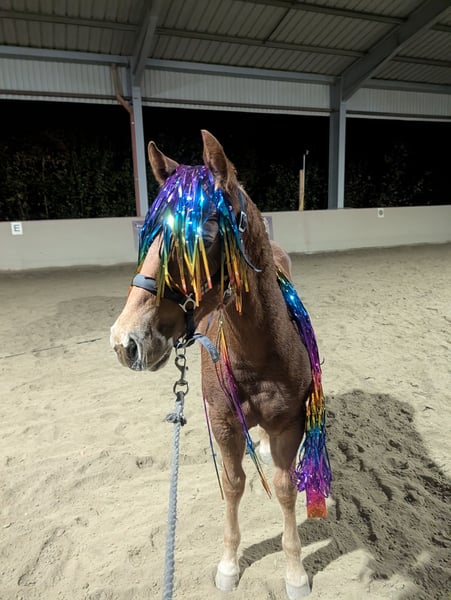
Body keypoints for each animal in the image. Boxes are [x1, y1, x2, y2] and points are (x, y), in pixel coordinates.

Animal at [110, 130, 330, 599]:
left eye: (206, 231)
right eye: (149, 233)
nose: (125, 341)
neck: (260, 357)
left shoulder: (291, 424)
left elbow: (285, 488)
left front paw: (295, 572)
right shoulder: (224, 422)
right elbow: (232, 484)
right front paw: (229, 565)